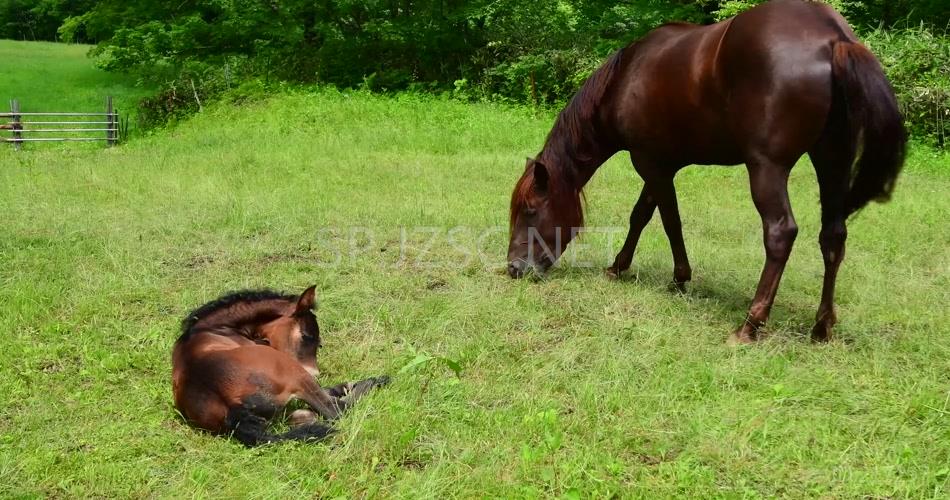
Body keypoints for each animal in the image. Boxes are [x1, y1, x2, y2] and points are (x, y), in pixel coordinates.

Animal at [172, 286, 390, 446]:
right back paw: (376, 381)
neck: (211, 328)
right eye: (307, 336)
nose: (315, 373)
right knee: (336, 409)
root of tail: (231, 407)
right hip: (295, 372)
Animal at [510, 0, 912, 344]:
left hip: (767, 168)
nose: (514, 268)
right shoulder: (660, 163)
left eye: (530, 210)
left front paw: (679, 278)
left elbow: (668, 220)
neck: (625, 78)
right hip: (831, 161)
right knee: (833, 235)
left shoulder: (650, 163)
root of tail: (833, 37)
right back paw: (822, 326)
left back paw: (750, 325)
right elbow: (641, 215)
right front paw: (619, 267)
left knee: (780, 234)